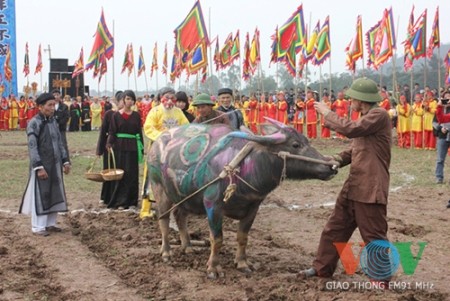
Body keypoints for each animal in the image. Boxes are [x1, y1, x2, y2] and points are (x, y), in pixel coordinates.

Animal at [149, 118, 338, 278]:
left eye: (306, 140)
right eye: (295, 144)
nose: (332, 166)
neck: (244, 167)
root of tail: (157, 142)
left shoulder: (253, 207)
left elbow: (242, 237)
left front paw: (242, 263)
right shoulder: (212, 205)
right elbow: (217, 239)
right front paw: (213, 268)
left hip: (182, 196)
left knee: (180, 217)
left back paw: (188, 247)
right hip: (160, 190)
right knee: (163, 219)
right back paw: (166, 252)